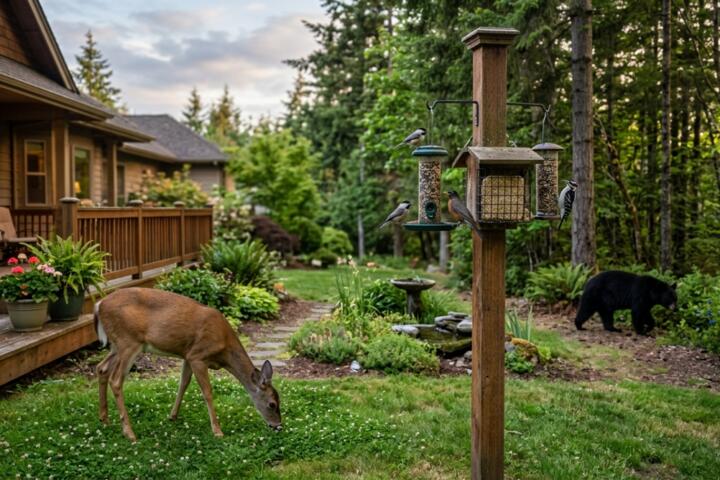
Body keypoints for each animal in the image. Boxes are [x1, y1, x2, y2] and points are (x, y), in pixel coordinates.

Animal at [93, 287, 281, 442]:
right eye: (272, 404)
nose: (278, 426)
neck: (224, 349)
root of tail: (99, 304)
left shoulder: (187, 355)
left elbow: (183, 384)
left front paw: (173, 416)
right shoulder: (198, 356)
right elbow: (207, 392)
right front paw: (217, 431)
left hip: (116, 345)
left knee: (101, 368)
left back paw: (104, 419)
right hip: (129, 341)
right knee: (116, 380)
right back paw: (129, 433)